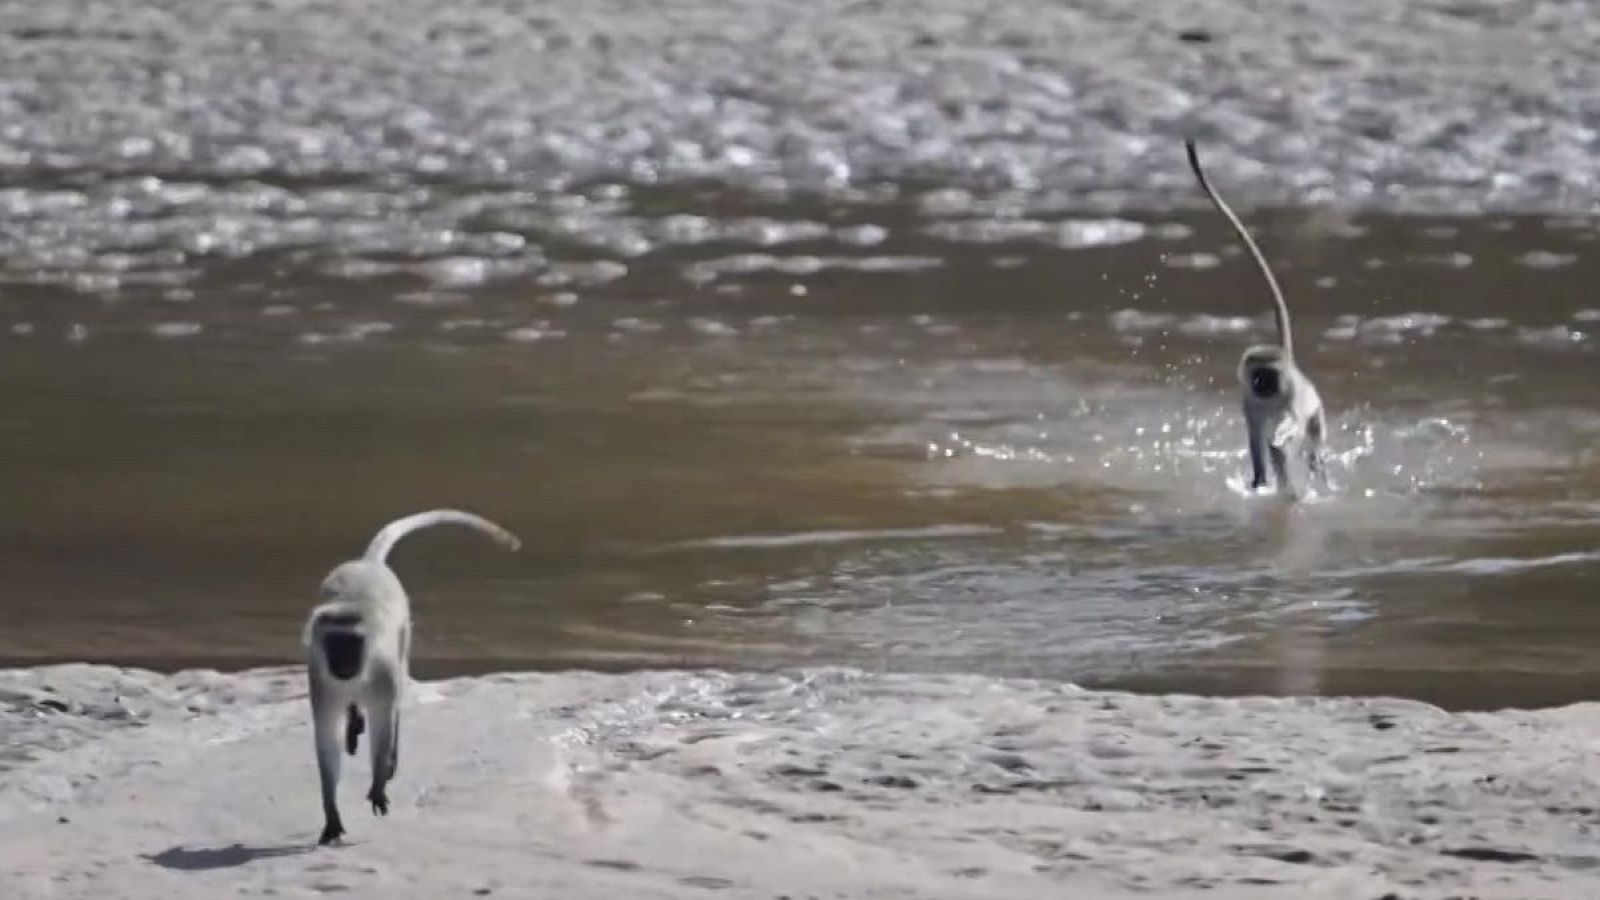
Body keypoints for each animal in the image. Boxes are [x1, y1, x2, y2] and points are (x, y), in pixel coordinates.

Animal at [303, 509, 520, 845]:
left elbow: (383, 723)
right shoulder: (320, 675)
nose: (344, 664)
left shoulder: (381, 672)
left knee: (395, 706)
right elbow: (327, 738)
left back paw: (387, 757)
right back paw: (354, 723)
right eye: (335, 644)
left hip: (403, 634)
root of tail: (369, 565)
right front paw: (332, 813)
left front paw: (379, 782)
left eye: (352, 644)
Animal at [1184, 139, 1329, 498]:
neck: (1273, 397)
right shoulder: (1249, 402)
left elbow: (1287, 428)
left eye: (1270, 376)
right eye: (1257, 377)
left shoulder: (1292, 398)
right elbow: (1256, 439)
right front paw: (1259, 479)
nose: (1263, 387)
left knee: (1309, 442)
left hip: (1314, 411)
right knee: (1275, 450)